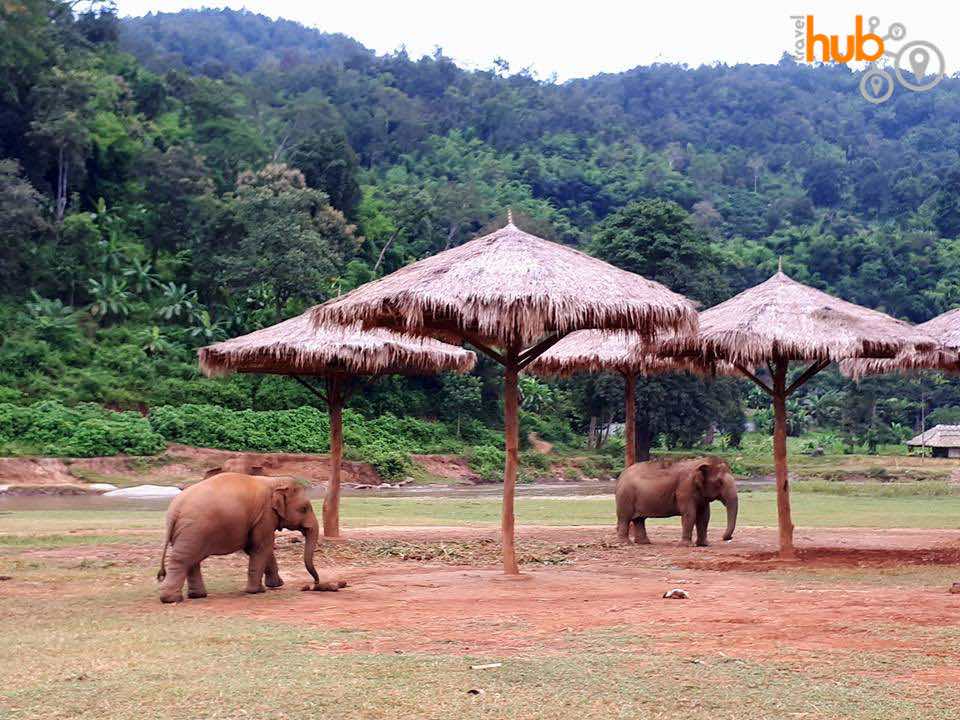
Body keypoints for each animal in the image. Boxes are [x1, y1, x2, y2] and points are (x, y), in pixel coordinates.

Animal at [156, 472, 340, 600]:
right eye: (304, 508)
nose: (316, 583)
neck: (274, 481)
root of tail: (174, 511)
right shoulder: (265, 515)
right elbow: (261, 547)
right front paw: (257, 591)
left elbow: (260, 548)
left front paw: (276, 585)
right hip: (194, 530)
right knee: (183, 559)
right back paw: (171, 599)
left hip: (189, 532)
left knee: (192, 560)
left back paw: (197, 596)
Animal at [612, 456, 740, 544]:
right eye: (720, 482)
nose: (727, 538)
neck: (700, 462)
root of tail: (620, 476)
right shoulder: (684, 489)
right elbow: (690, 514)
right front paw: (687, 545)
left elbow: (704, 516)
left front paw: (704, 544)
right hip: (625, 496)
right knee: (625, 518)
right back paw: (625, 543)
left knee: (639, 519)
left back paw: (644, 542)